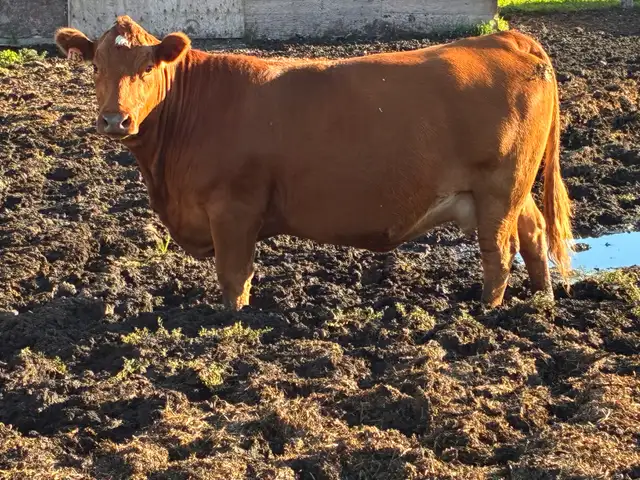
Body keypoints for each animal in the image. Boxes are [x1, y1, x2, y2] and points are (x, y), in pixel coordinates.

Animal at [54, 16, 573, 311]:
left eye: (147, 68)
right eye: (96, 67)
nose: (114, 120)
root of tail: (507, 39)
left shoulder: (234, 210)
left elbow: (234, 277)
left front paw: (232, 323)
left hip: (498, 188)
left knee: (499, 253)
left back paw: (486, 312)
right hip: (510, 190)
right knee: (532, 232)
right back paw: (542, 301)